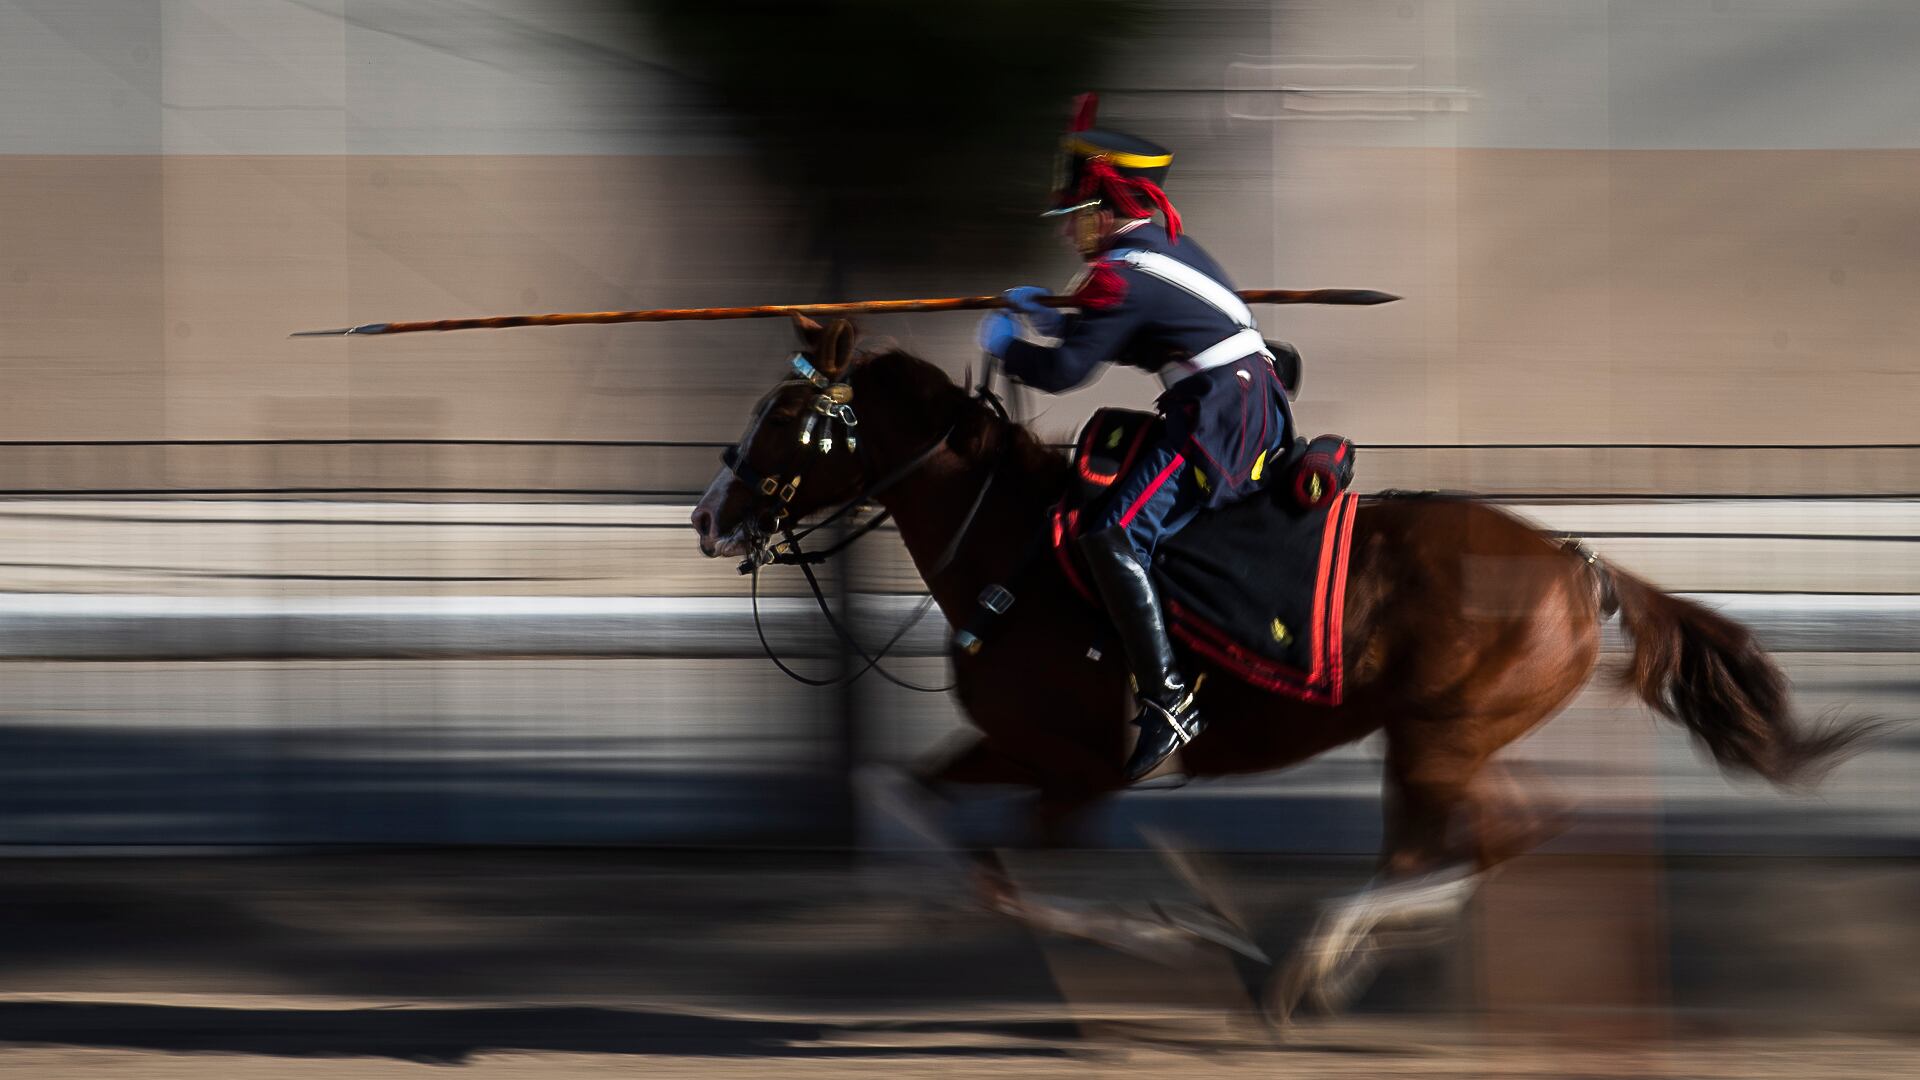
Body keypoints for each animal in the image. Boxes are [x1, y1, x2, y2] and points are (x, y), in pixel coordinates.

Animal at [691, 319, 1873, 1014]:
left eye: (785, 416)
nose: (709, 514)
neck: (1016, 548)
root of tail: (1577, 563)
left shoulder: (1079, 774)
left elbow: (1011, 882)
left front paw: (1182, 925)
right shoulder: (1016, 747)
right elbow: (896, 790)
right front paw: (917, 885)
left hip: (1438, 738)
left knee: (1461, 841)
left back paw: (1317, 955)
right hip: (1447, 738)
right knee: (1508, 830)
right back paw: (1343, 951)